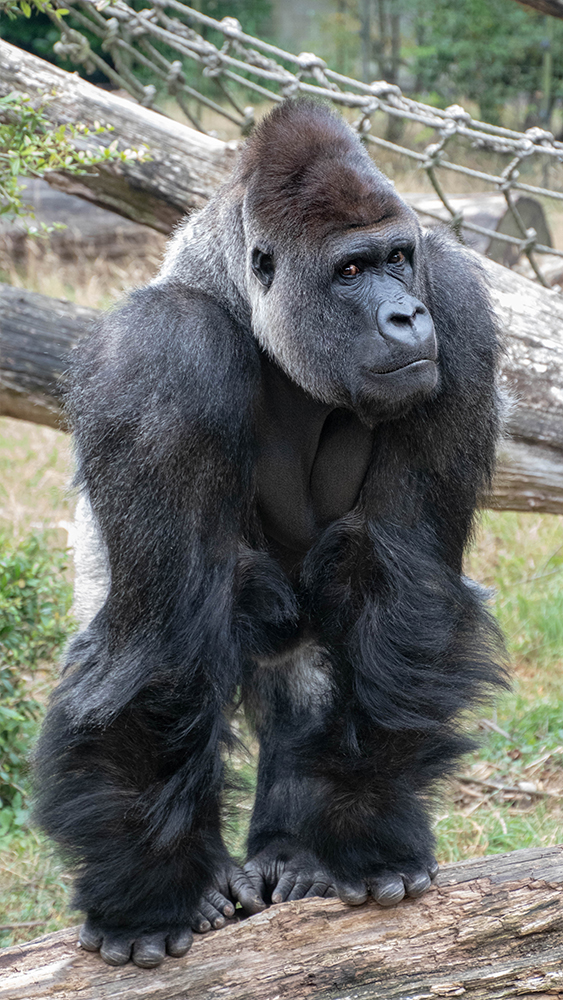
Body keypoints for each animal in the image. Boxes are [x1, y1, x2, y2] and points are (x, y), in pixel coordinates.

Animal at [37, 101, 508, 968]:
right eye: (350, 272)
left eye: (398, 258)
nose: (406, 314)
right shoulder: (163, 351)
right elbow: (155, 647)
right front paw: (147, 901)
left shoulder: (454, 306)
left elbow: (398, 589)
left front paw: (355, 841)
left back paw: (291, 850)